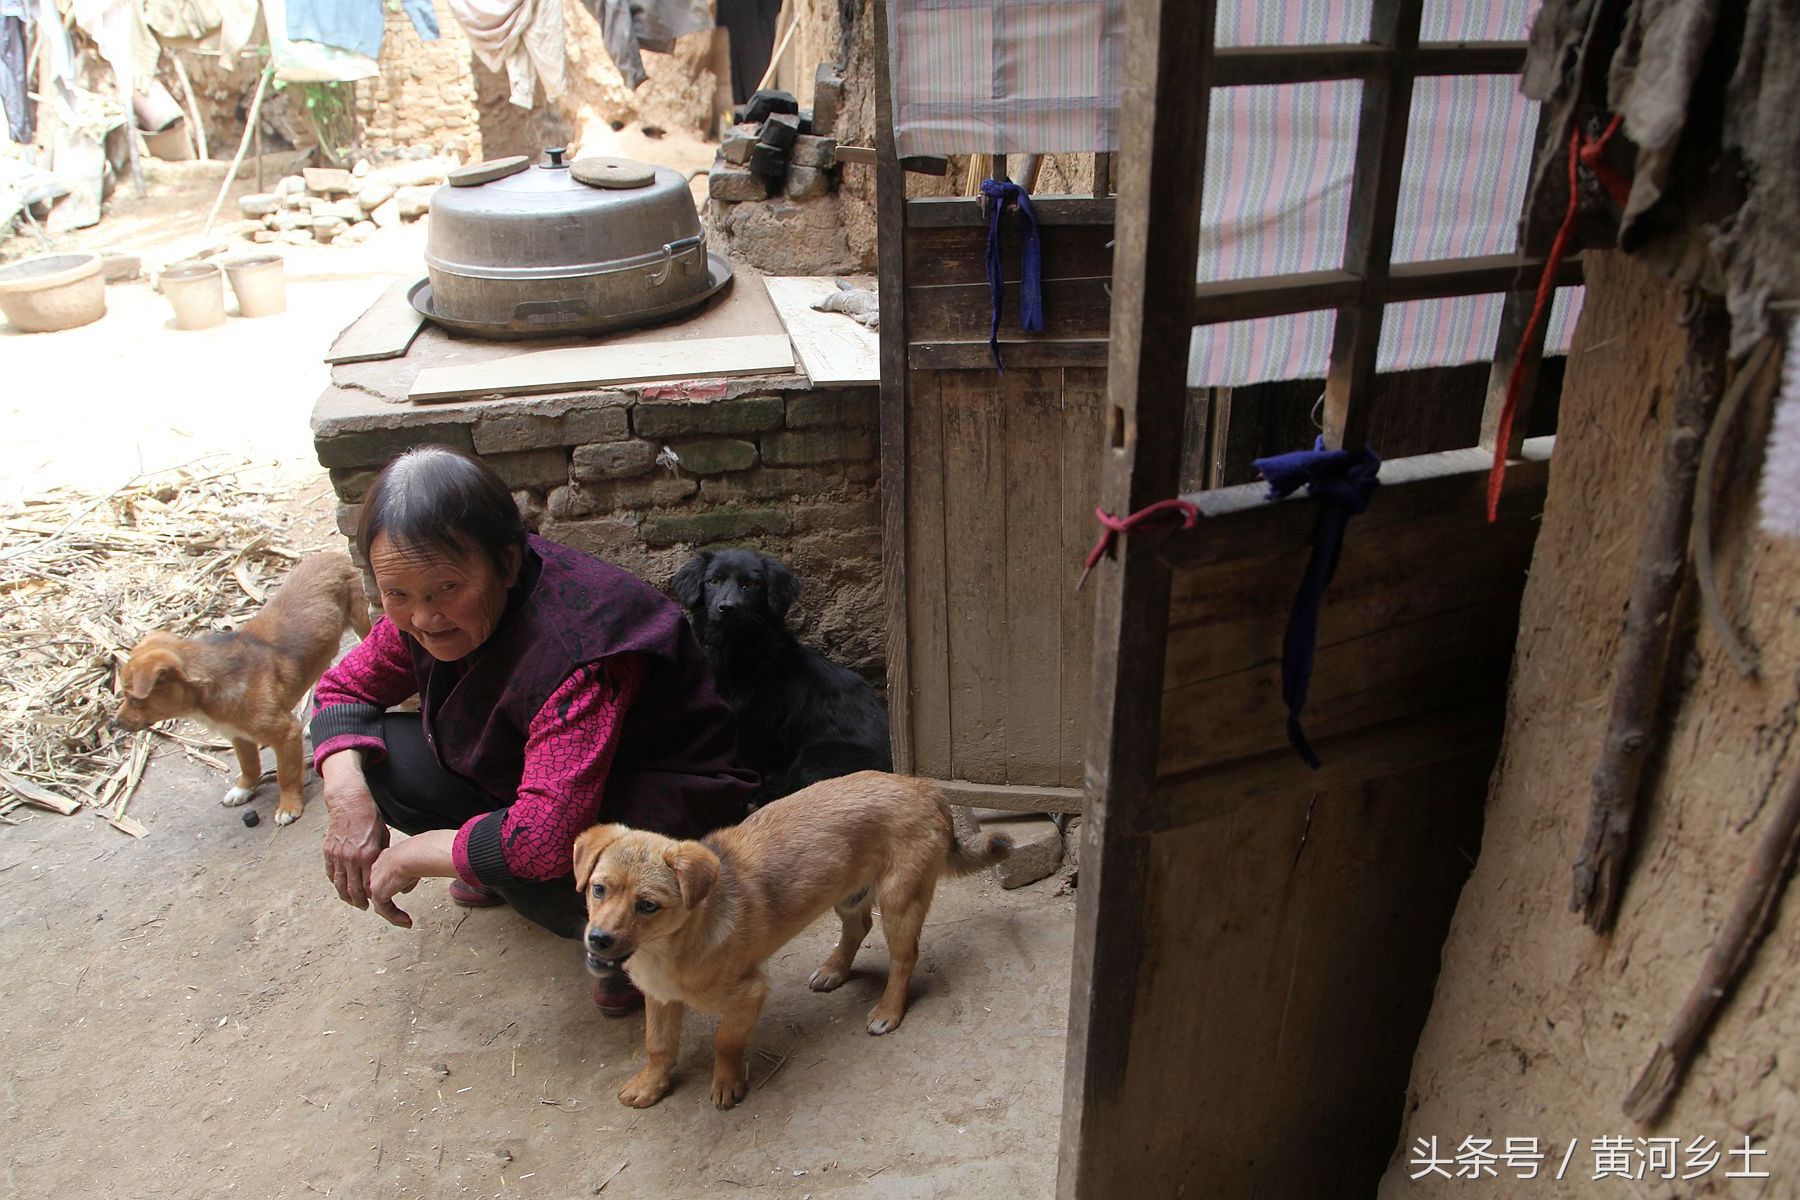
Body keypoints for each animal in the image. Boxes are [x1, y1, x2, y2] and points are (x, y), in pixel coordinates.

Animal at [115, 554, 369, 827]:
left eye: (134, 699)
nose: (114, 724)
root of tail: (336, 556)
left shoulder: (285, 733)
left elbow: (286, 774)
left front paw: (289, 806)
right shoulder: (237, 734)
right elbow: (248, 764)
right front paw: (244, 789)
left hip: (363, 621)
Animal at [572, 773, 1015, 1115]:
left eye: (648, 905)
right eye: (598, 889)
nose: (598, 939)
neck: (670, 947)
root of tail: (927, 788)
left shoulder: (748, 994)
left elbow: (725, 1042)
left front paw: (727, 1084)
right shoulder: (659, 997)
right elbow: (657, 1044)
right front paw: (650, 1084)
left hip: (899, 901)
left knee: (904, 958)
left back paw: (888, 1011)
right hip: (847, 893)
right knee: (858, 928)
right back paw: (834, 969)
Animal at [669, 550, 892, 802]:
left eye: (752, 584)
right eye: (713, 581)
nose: (727, 607)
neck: (735, 650)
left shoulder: (756, 726)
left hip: (814, 759)